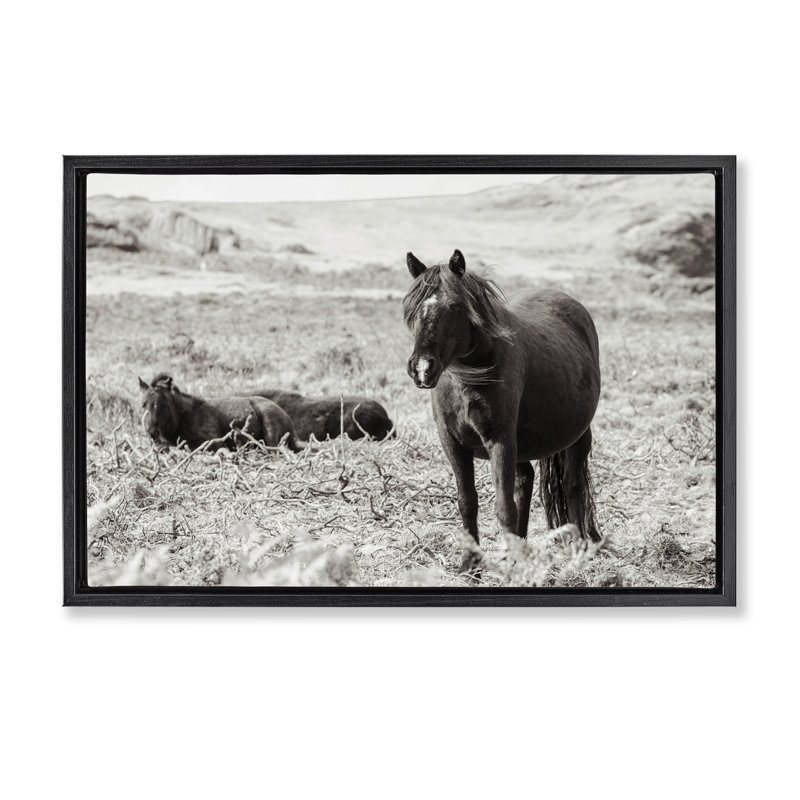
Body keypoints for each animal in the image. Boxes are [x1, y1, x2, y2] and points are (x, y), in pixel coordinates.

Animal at [138, 373, 299, 452]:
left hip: (270, 431)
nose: (152, 432)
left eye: (164, 405)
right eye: (143, 405)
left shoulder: (213, 442)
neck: (184, 417)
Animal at [403, 249, 601, 572]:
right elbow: (467, 501)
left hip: (578, 436)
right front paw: (470, 564)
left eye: (455, 306)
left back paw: (579, 546)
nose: (421, 368)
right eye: (411, 307)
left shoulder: (500, 440)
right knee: (526, 479)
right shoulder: (452, 443)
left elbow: (504, 505)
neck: (469, 378)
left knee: (573, 486)